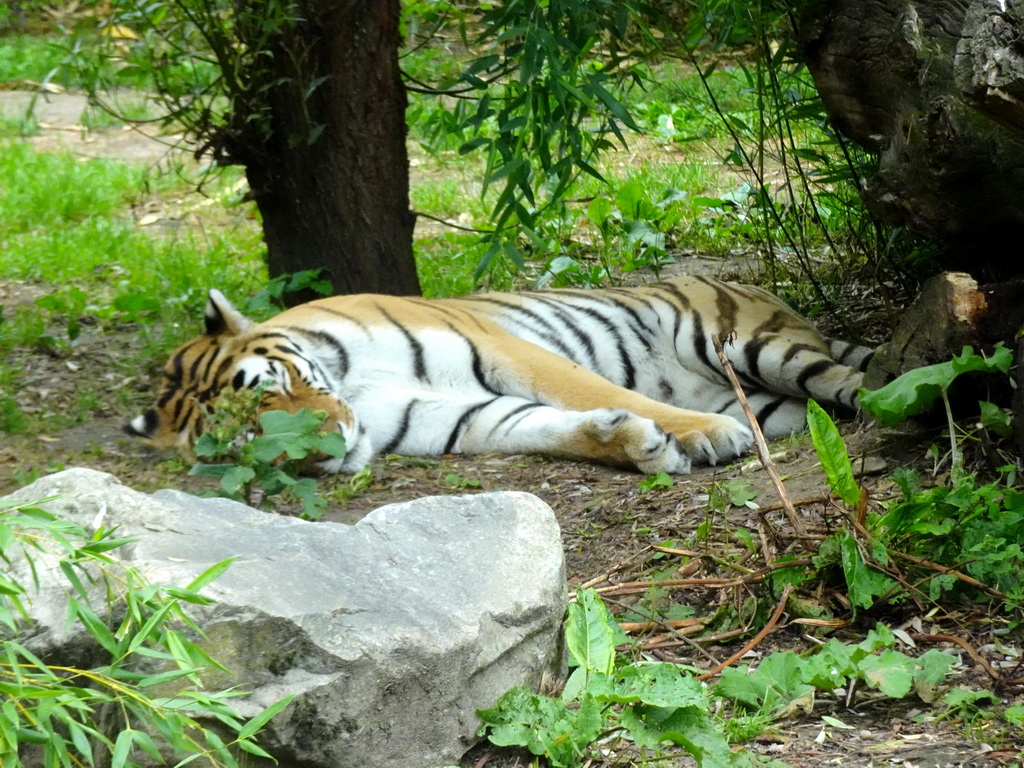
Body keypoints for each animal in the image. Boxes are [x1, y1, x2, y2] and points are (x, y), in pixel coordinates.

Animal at [123, 278, 876, 475]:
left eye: (273, 388)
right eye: (247, 442)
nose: (332, 446)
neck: (355, 389)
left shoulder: (504, 349)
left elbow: (592, 388)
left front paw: (705, 434)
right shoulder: (448, 417)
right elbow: (538, 425)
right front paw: (636, 444)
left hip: (752, 346)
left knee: (853, 381)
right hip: (778, 401)